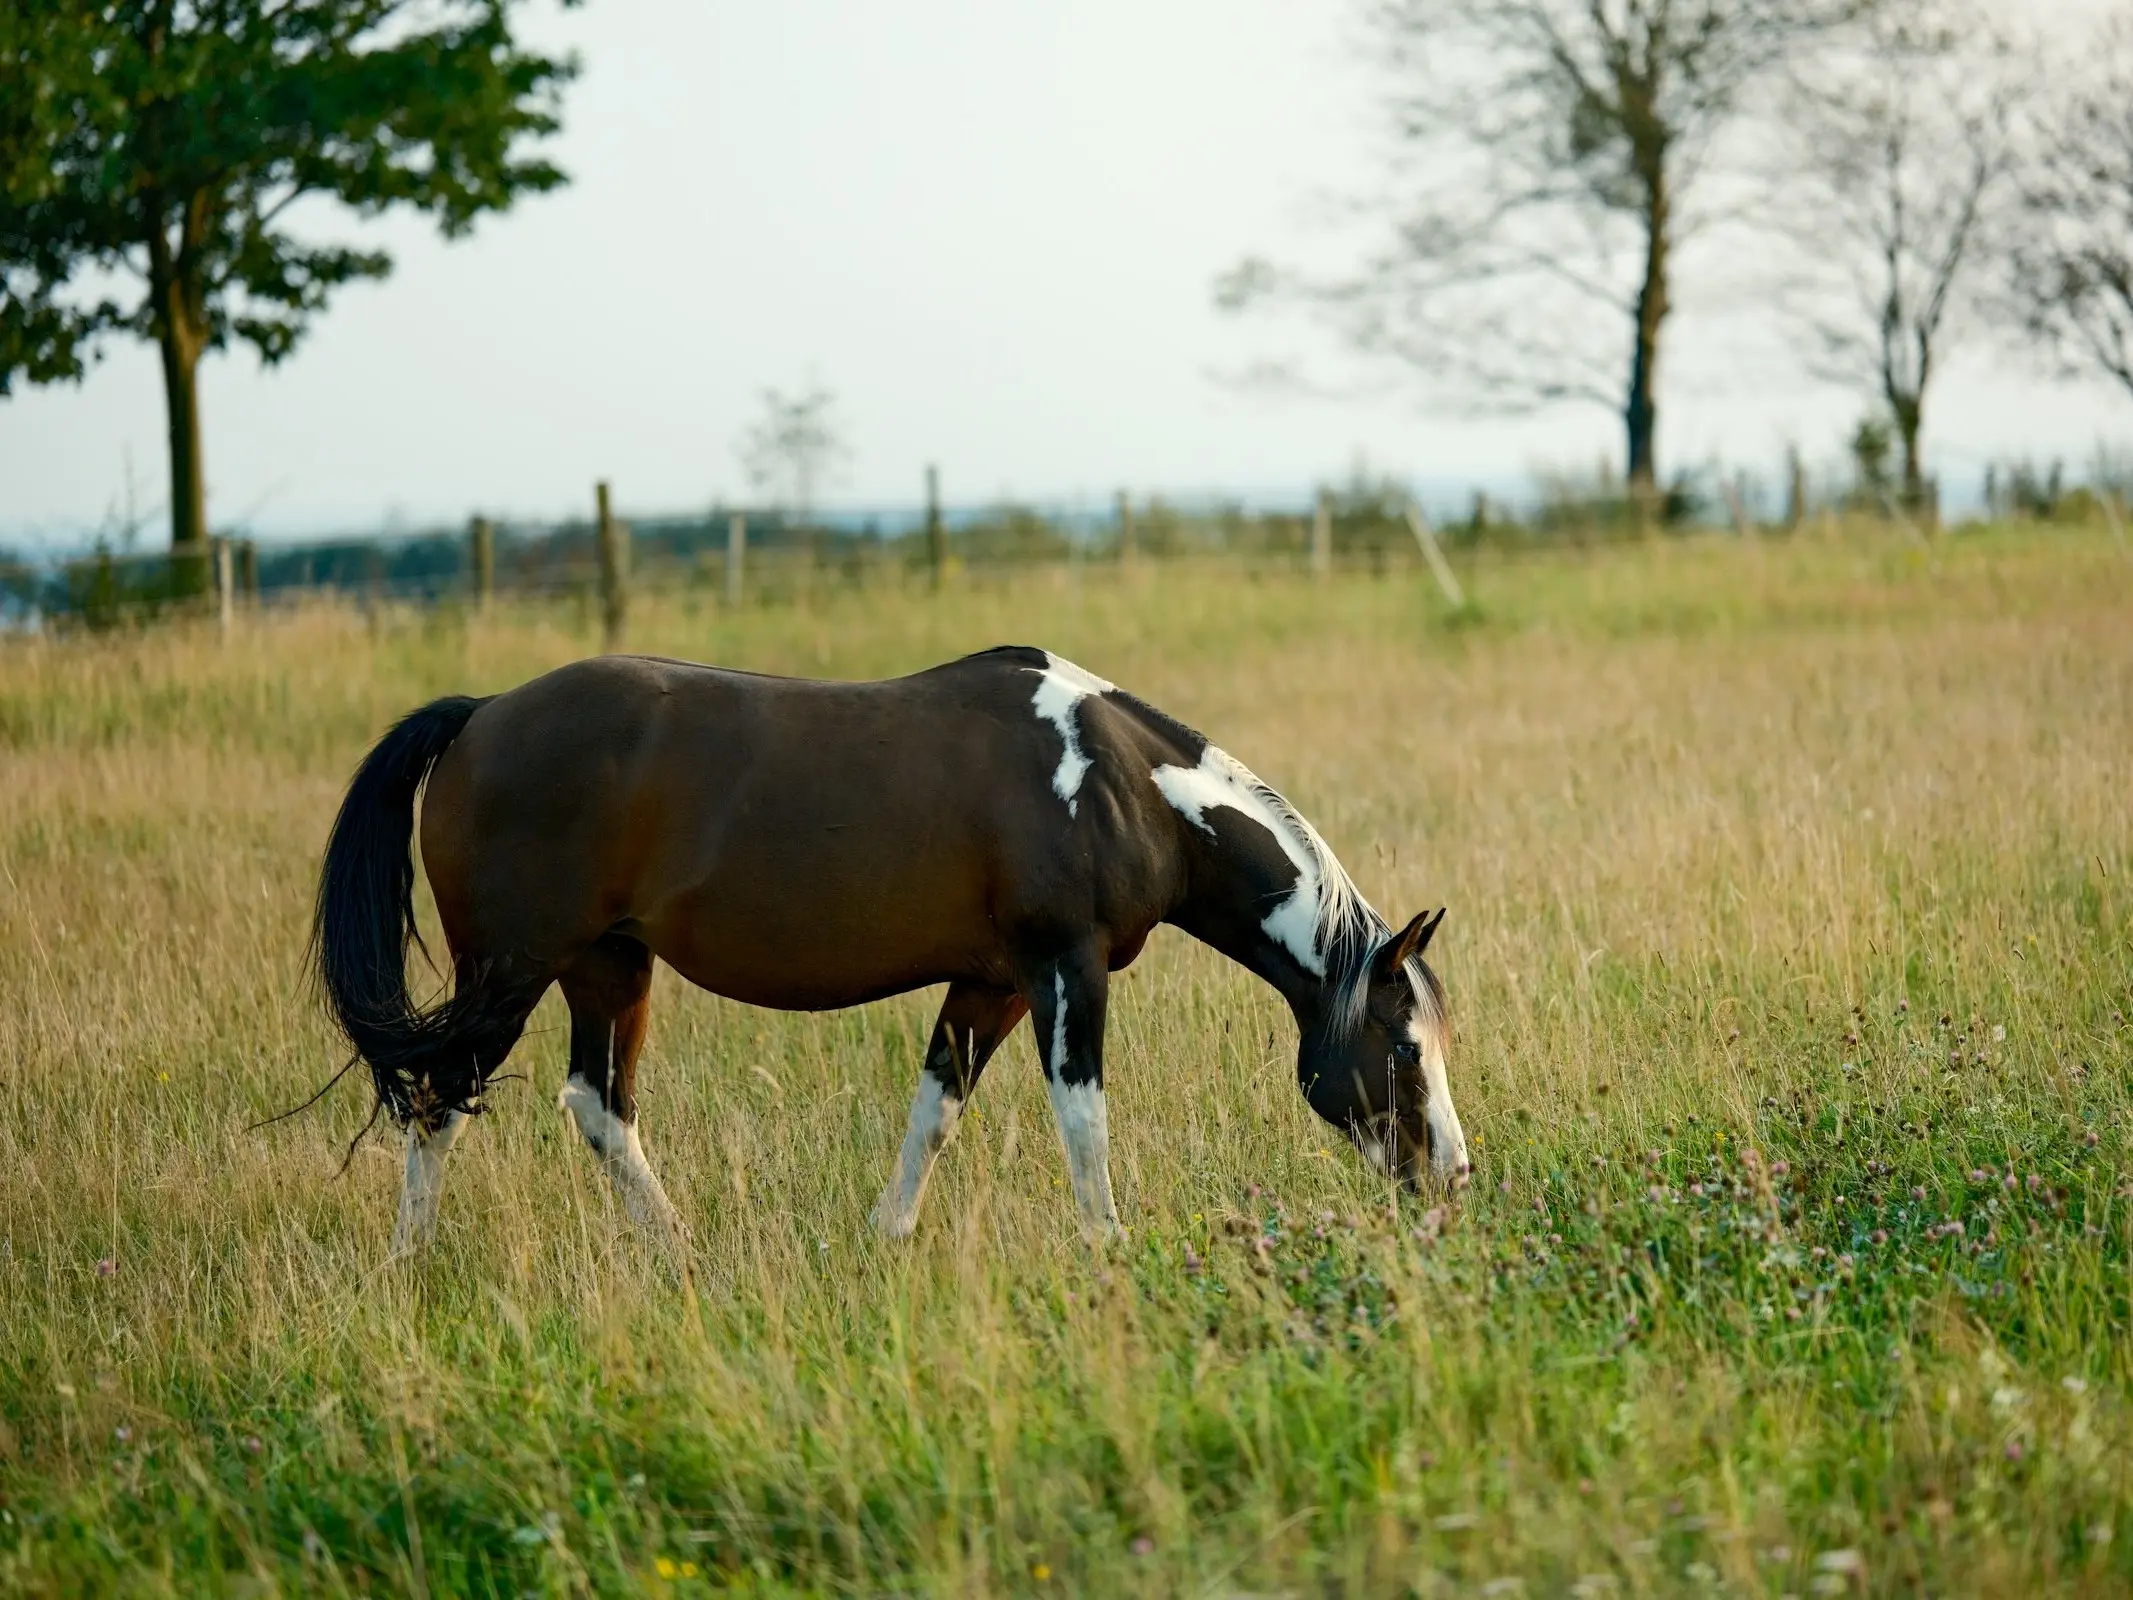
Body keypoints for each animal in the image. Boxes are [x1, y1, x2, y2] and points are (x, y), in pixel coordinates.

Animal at [311, 644, 1467, 1262]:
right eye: (1406, 1050)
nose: (1451, 1177)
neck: (1115, 785)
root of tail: (480, 718)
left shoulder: (992, 983)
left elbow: (936, 1109)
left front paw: (888, 1235)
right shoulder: (1065, 969)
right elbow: (1081, 1118)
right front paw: (1109, 1247)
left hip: (607, 968)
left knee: (597, 1105)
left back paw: (678, 1250)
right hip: (507, 974)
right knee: (441, 1098)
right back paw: (411, 1263)